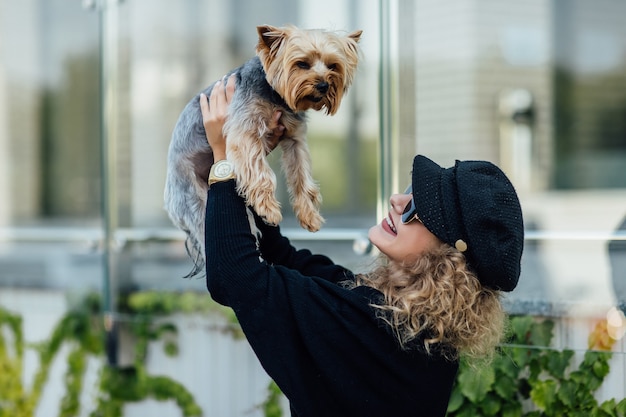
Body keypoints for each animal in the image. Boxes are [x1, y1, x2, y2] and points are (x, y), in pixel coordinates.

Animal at [163, 24, 360, 274]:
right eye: (302, 64)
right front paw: (269, 210)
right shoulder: (245, 131)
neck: (275, 95)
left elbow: (301, 176)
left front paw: (309, 216)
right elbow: (260, 172)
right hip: (194, 201)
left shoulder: (295, 138)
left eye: (333, 65)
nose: (324, 85)